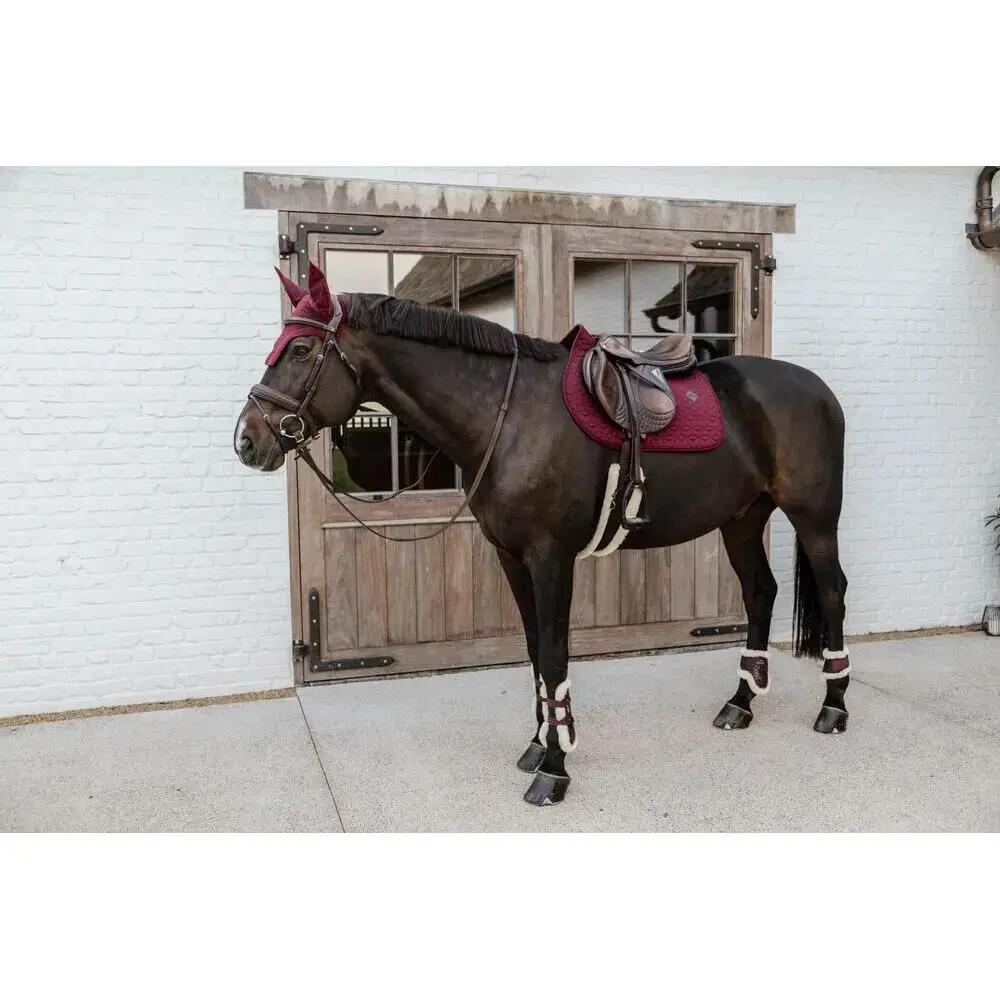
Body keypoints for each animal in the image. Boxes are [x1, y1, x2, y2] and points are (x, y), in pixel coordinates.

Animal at [235, 264, 850, 807]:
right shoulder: (511, 557)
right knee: (760, 592)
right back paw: (740, 704)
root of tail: (818, 389)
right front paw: (538, 745)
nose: (246, 440)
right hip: (741, 518)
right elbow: (533, 650)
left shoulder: (551, 557)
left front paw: (554, 770)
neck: (507, 419)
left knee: (833, 593)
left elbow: (554, 656)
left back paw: (834, 708)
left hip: (815, 518)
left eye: (300, 350)